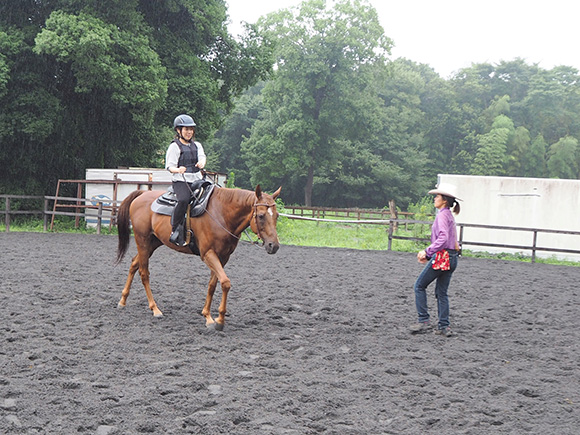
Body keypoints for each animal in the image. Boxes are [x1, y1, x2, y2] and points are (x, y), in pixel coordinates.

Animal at [114, 184, 280, 330]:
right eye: (261, 215)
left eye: (277, 216)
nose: (274, 246)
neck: (222, 214)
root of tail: (142, 194)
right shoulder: (208, 254)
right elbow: (225, 282)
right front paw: (219, 320)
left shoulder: (223, 257)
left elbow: (213, 285)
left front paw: (207, 315)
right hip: (142, 240)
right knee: (144, 273)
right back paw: (155, 309)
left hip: (152, 243)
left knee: (134, 264)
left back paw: (122, 300)